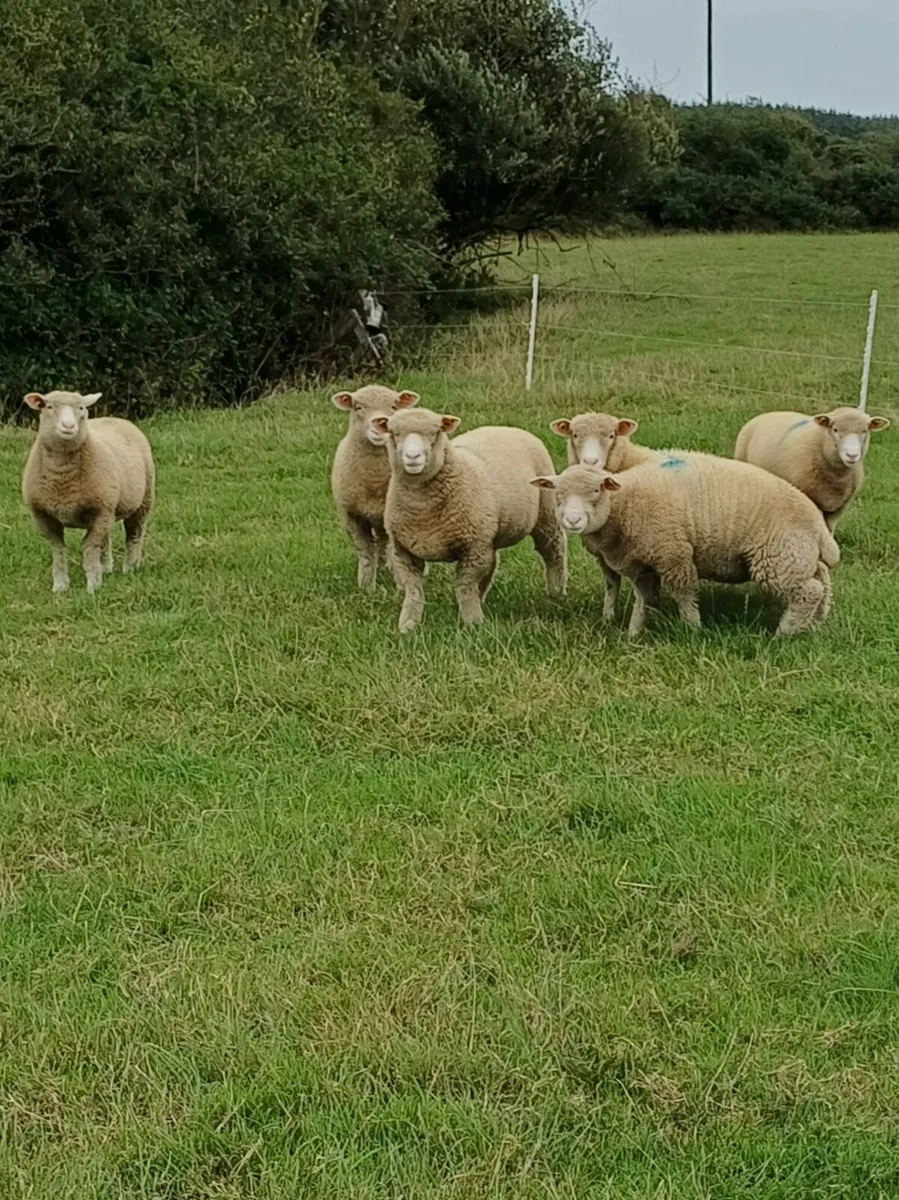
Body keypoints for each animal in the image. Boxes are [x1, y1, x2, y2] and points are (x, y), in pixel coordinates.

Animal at [22, 390, 155, 594]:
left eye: (81, 408)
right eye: (48, 406)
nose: (69, 426)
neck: (62, 481)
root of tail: (113, 418)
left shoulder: (101, 510)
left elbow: (89, 547)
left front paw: (93, 586)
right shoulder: (42, 515)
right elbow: (58, 548)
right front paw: (60, 586)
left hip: (142, 500)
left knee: (134, 533)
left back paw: (130, 568)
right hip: (108, 507)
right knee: (106, 538)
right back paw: (106, 568)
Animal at [330, 385, 419, 588]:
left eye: (394, 406)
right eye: (358, 407)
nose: (380, 422)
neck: (374, 480)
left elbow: (394, 551)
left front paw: (400, 585)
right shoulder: (351, 516)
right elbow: (365, 552)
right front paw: (366, 586)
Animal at [373, 408, 567, 632]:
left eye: (435, 433)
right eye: (393, 433)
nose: (413, 456)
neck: (422, 511)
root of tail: (505, 427)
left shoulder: (473, 549)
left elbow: (465, 587)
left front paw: (472, 623)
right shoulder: (403, 551)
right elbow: (413, 590)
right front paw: (408, 625)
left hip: (546, 514)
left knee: (553, 550)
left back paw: (556, 593)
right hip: (489, 536)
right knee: (493, 564)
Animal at [531, 453, 840, 637]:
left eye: (596, 490)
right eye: (557, 493)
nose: (572, 520)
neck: (625, 503)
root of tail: (818, 524)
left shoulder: (673, 554)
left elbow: (683, 593)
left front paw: (692, 628)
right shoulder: (642, 564)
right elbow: (644, 600)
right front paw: (634, 633)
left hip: (779, 558)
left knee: (809, 592)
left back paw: (784, 633)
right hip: (799, 557)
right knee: (823, 583)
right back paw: (814, 625)